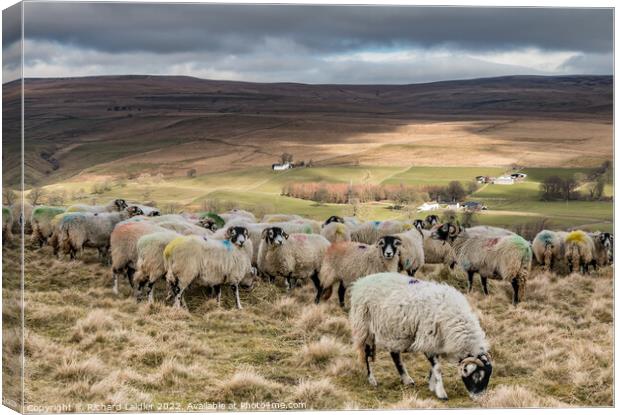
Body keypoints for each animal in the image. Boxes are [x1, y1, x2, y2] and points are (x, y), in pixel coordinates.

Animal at [348, 272, 494, 400]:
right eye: (477, 376)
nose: (480, 398)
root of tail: (361, 281)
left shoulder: (436, 343)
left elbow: (434, 368)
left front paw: (432, 386)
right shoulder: (428, 338)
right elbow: (437, 368)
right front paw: (441, 393)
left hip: (394, 330)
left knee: (395, 355)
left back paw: (407, 379)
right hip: (364, 326)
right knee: (366, 354)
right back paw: (372, 379)